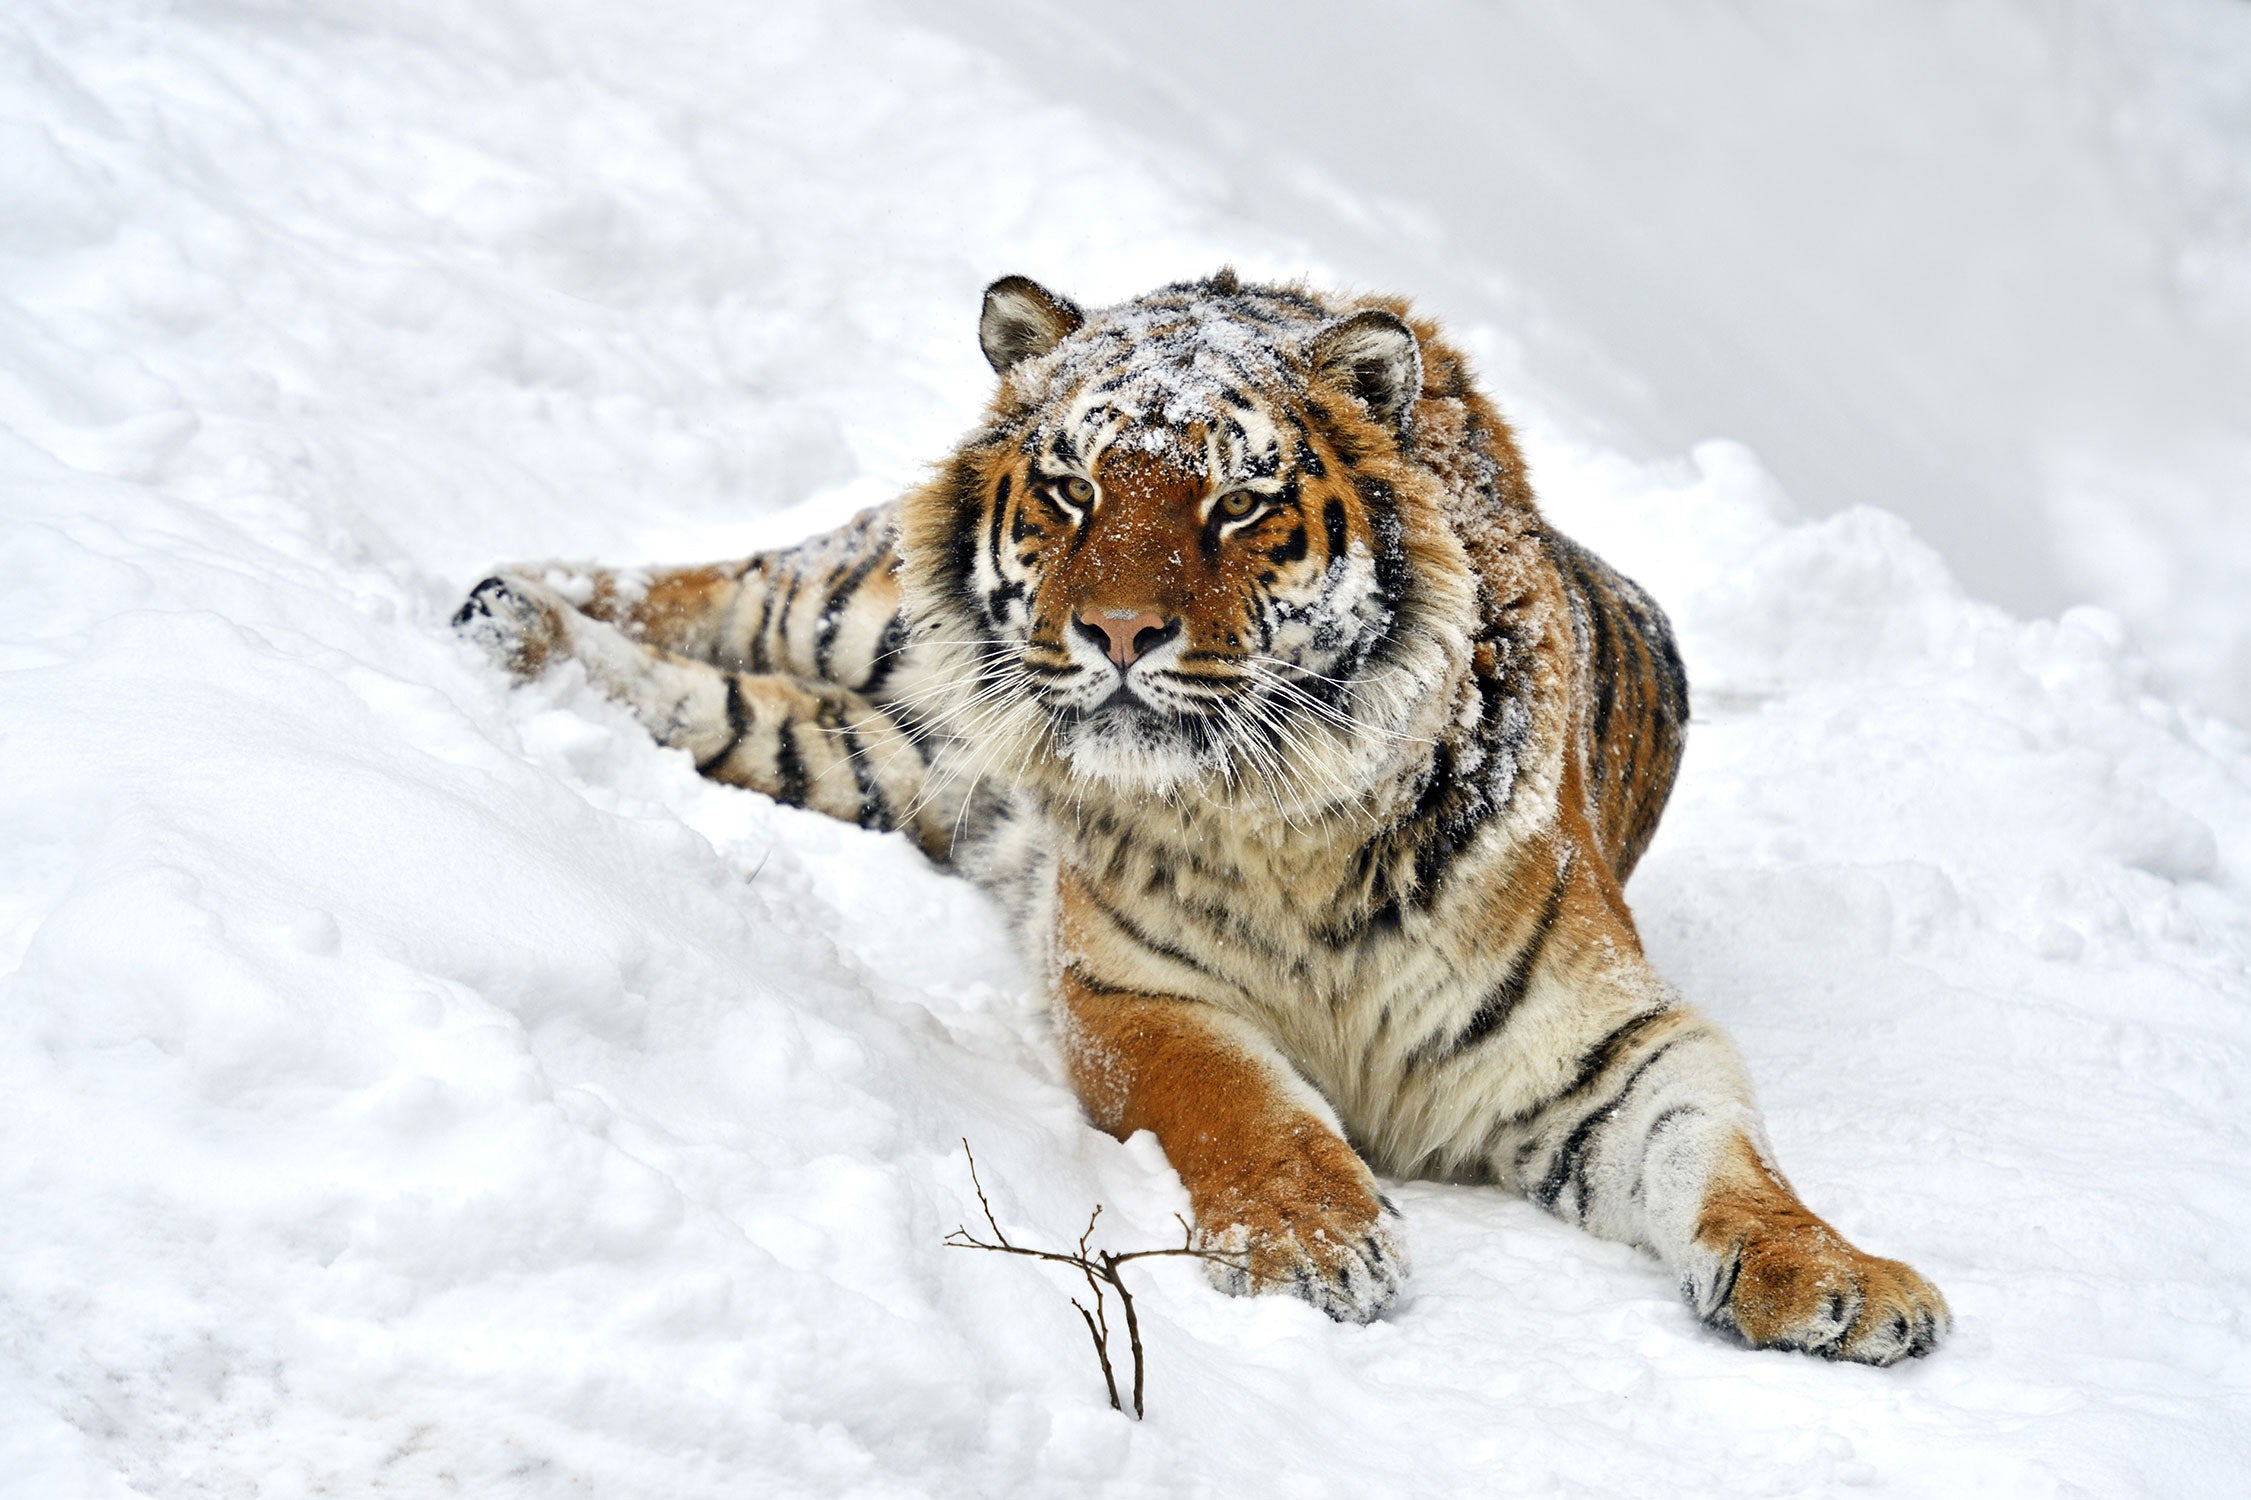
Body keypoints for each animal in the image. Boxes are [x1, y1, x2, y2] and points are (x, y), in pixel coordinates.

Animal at [447, 269, 1944, 1351]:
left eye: (1235, 504)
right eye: (1070, 490)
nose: (1115, 633)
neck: (1285, 821)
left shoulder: (1610, 1041)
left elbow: (1724, 1158)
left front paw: (1841, 1283)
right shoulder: (1127, 990)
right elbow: (1242, 1104)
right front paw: (1313, 1246)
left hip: (888, 754)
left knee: (728, 704)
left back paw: (525, 638)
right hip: (858, 612)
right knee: (714, 587)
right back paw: (497, 600)